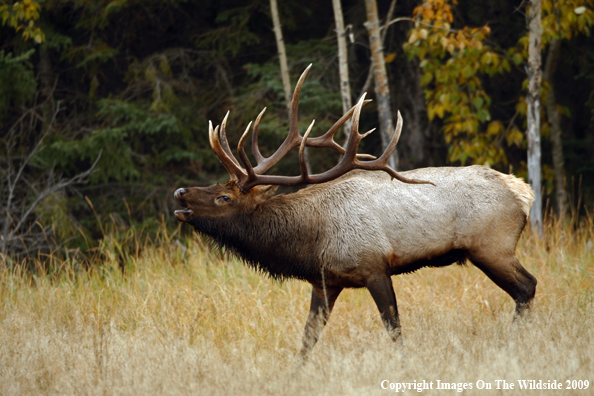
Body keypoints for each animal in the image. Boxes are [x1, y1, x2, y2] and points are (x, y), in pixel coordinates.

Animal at [172, 65, 536, 358]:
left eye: (224, 197)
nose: (180, 193)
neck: (309, 242)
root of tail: (523, 192)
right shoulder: (325, 282)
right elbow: (308, 338)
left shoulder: (373, 265)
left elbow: (393, 328)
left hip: (492, 245)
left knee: (527, 286)